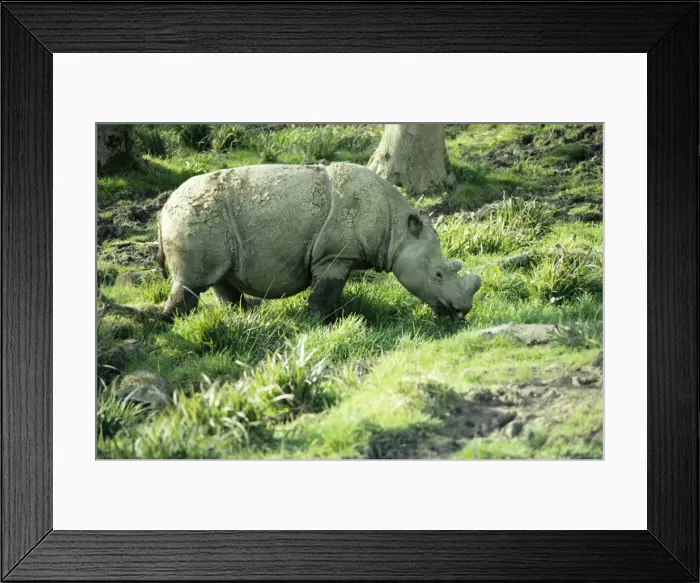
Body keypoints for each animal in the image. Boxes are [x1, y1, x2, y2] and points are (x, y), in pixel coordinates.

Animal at [157, 162, 481, 321]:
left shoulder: (340, 255)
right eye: (438, 274)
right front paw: (316, 322)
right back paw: (173, 324)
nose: (462, 310)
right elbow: (325, 292)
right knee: (191, 282)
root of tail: (164, 208)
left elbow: (331, 293)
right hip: (194, 218)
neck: (398, 232)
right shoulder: (334, 255)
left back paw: (241, 317)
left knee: (220, 278)